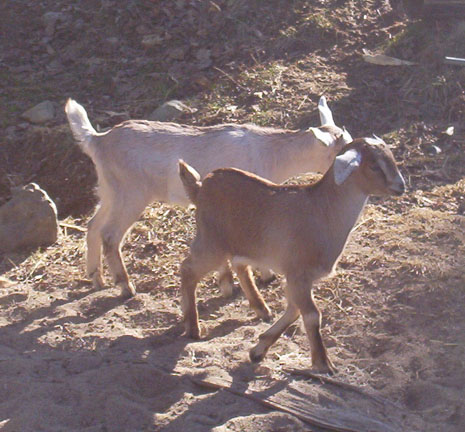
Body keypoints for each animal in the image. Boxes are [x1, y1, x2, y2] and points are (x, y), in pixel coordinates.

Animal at [65, 97, 351, 298]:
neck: (271, 154)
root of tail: (98, 140)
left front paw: (227, 284)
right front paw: (262, 277)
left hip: (110, 190)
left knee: (93, 225)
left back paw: (96, 278)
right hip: (131, 194)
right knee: (110, 235)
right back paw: (125, 287)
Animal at [178, 136, 405, 373]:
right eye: (374, 165)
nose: (401, 186)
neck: (324, 211)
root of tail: (200, 188)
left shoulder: (299, 278)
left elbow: (295, 311)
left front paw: (259, 349)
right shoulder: (298, 274)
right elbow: (312, 315)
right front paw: (323, 363)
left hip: (242, 244)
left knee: (239, 266)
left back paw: (261, 308)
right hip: (211, 243)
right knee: (187, 269)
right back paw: (192, 326)